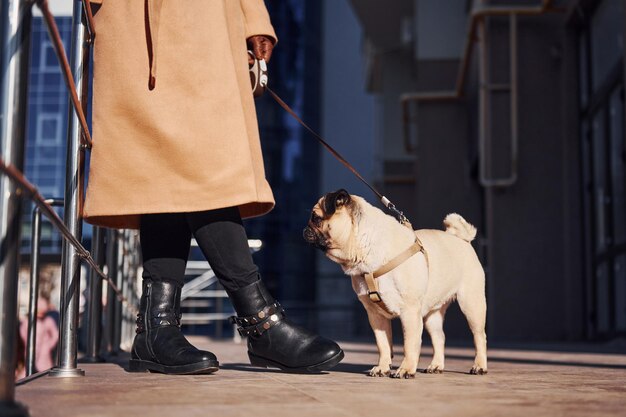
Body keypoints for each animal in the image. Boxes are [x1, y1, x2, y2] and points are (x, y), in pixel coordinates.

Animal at [302, 188, 488, 376]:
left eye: (316, 218)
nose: (305, 228)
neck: (365, 247)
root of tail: (461, 238)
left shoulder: (410, 311)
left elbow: (409, 345)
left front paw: (406, 369)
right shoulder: (375, 315)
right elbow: (383, 345)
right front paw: (382, 367)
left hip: (471, 304)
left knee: (479, 337)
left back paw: (480, 366)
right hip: (432, 314)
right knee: (439, 337)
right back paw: (436, 365)